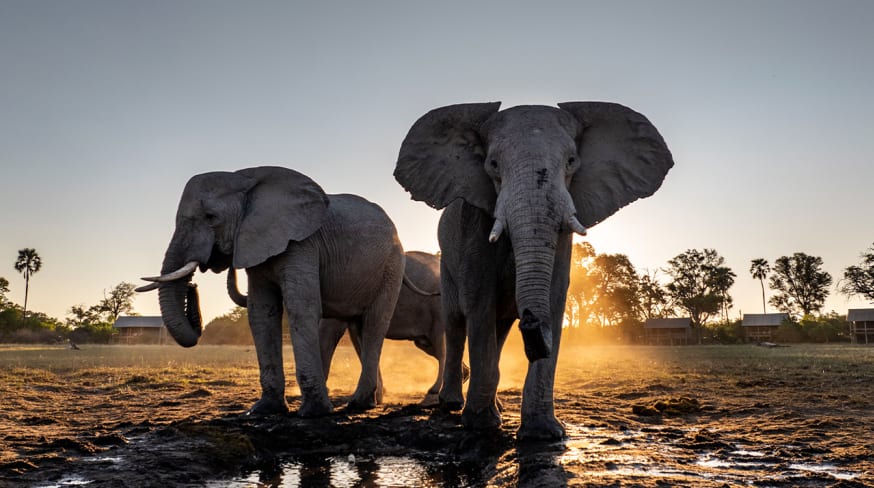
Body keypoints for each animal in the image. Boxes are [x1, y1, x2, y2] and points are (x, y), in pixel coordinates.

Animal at [136, 166, 405, 417]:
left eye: (210, 217)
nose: (193, 286)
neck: (245, 179)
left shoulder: (302, 244)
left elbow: (301, 308)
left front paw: (313, 412)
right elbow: (261, 313)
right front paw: (264, 409)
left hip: (392, 265)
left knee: (374, 325)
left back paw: (358, 404)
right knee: (358, 328)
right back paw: (366, 402)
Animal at [394, 102, 673, 439]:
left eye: (571, 161)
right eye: (493, 164)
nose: (529, 321)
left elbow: (554, 297)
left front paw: (544, 432)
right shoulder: (474, 224)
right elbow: (479, 301)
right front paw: (481, 425)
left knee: (499, 330)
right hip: (445, 262)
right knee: (456, 322)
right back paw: (451, 405)